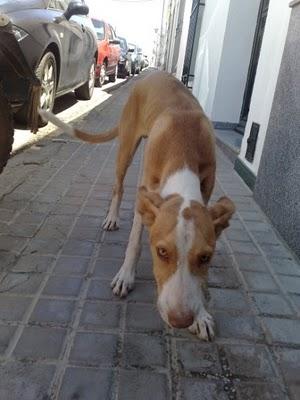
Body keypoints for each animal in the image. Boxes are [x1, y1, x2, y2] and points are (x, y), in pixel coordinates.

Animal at [39, 71, 234, 340]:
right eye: (161, 252)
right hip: (126, 149)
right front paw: (125, 276)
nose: (180, 320)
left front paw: (202, 315)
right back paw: (112, 217)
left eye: (206, 257)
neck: (185, 148)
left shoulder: (205, 192)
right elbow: (134, 242)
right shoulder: (146, 196)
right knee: (118, 187)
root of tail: (152, 73)